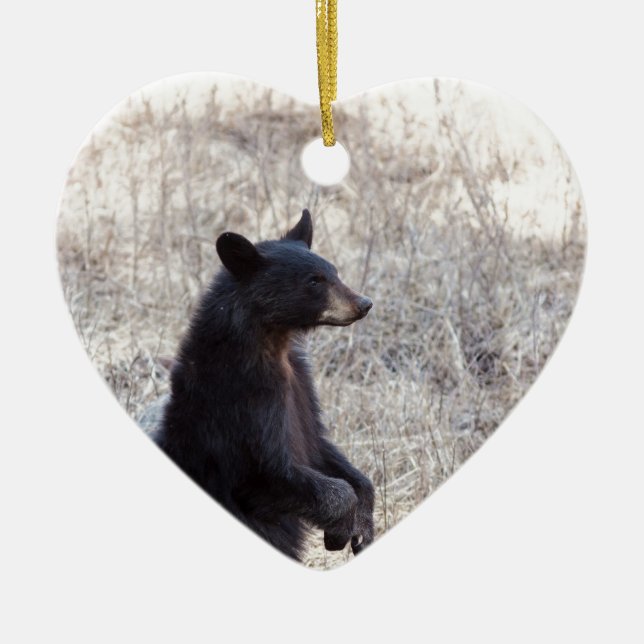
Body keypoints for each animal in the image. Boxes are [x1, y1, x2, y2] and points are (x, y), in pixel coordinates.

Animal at [154, 209, 375, 562]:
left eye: (334, 272)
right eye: (314, 280)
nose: (364, 303)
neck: (272, 345)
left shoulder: (301, 388)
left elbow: (319, 446)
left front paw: (362, 528)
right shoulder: (244, 400)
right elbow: (266, 471)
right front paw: (340, 528)